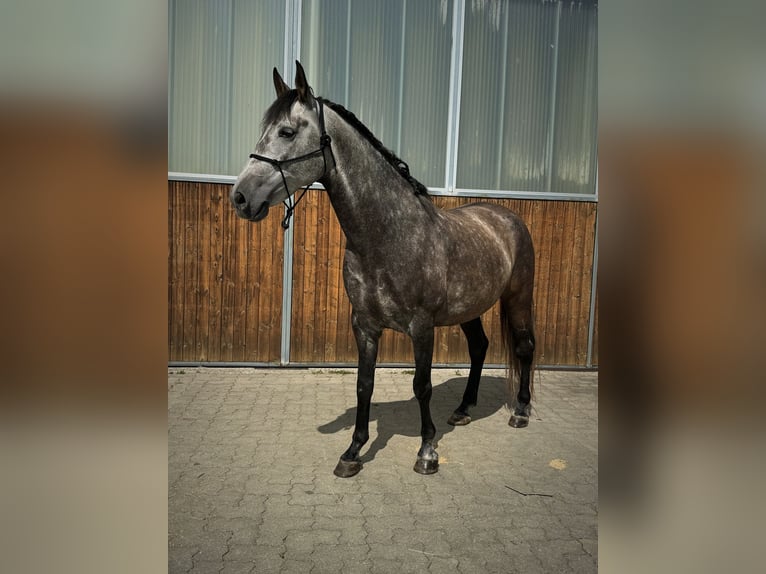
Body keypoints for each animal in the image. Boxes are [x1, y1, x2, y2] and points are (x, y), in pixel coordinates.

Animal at [231, 60, 536, 480]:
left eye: (287, 132)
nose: (240, 197)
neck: (388, 235)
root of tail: (506, 217)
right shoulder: (365, 325)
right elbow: (364, 384)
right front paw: (352, 452)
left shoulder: (421, 327)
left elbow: (422, 385)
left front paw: (427, 452)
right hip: (469, 309)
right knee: (479, 347)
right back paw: (462, 410)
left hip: (518, 299)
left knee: (524, 348)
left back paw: (520, 411)